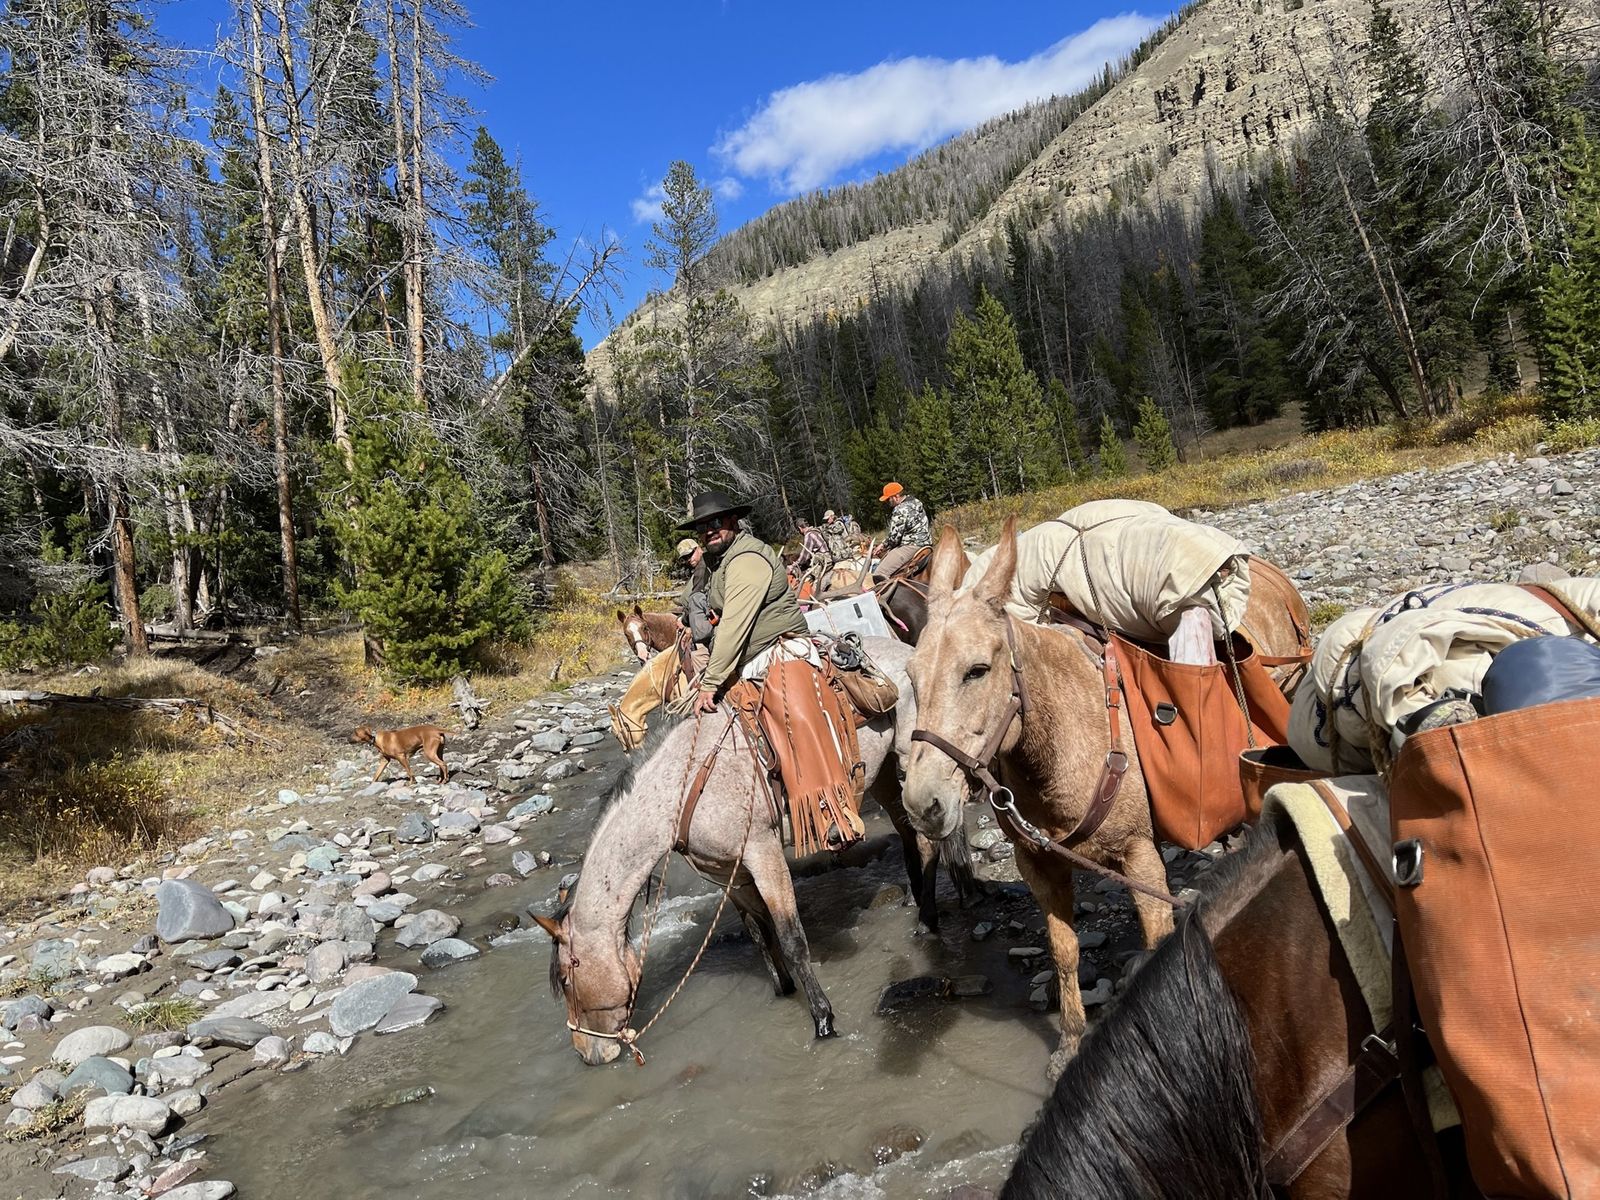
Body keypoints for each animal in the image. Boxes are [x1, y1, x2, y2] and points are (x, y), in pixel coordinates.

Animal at [538, 636, 978, 1065]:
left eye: (566, 979)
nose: (588, 1054)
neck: (684, 788)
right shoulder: (727, 875)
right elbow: (758, 933)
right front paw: (783, 991)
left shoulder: (763, 853)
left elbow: (790, 937)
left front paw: (823, 1020)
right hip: (882, 775)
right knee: (909, 835)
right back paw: (917, 900)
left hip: (910, 763)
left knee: (930, 839)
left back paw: (930, 919)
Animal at [902, 517, 1309, 1077]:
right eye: (910, 676)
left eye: (977, 670)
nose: (923, 804)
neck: (1066, 737)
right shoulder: (1039, 863)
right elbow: (1065, 950)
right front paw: (1070, 1041)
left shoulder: (1140, 855)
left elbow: (1158, 942)